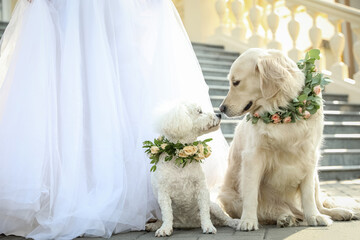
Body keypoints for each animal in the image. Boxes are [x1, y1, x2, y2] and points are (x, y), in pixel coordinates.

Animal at [145, 101, 240, 236]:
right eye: (199, 111)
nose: (219, 114)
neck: (180, 157)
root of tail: (189, 224)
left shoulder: (202, 189)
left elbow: (204, 212)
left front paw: (208, 226)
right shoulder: (163, 193)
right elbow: (167, 214)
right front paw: (164, 229)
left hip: (214, 207)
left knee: (225, 219)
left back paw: (235, 222)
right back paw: (153, 225)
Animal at [217, 48, 358, 231]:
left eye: (236, 82)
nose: (221, 108)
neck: (282, 110)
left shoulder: (309, 156)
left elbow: (308, 196)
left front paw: (314, 217)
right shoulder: (253, 157)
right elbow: (251, 194)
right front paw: (247, 220)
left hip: (316, 177)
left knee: (318, 205)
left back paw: (337, 213)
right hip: (229, 196)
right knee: (273, 211)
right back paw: (285, 217)